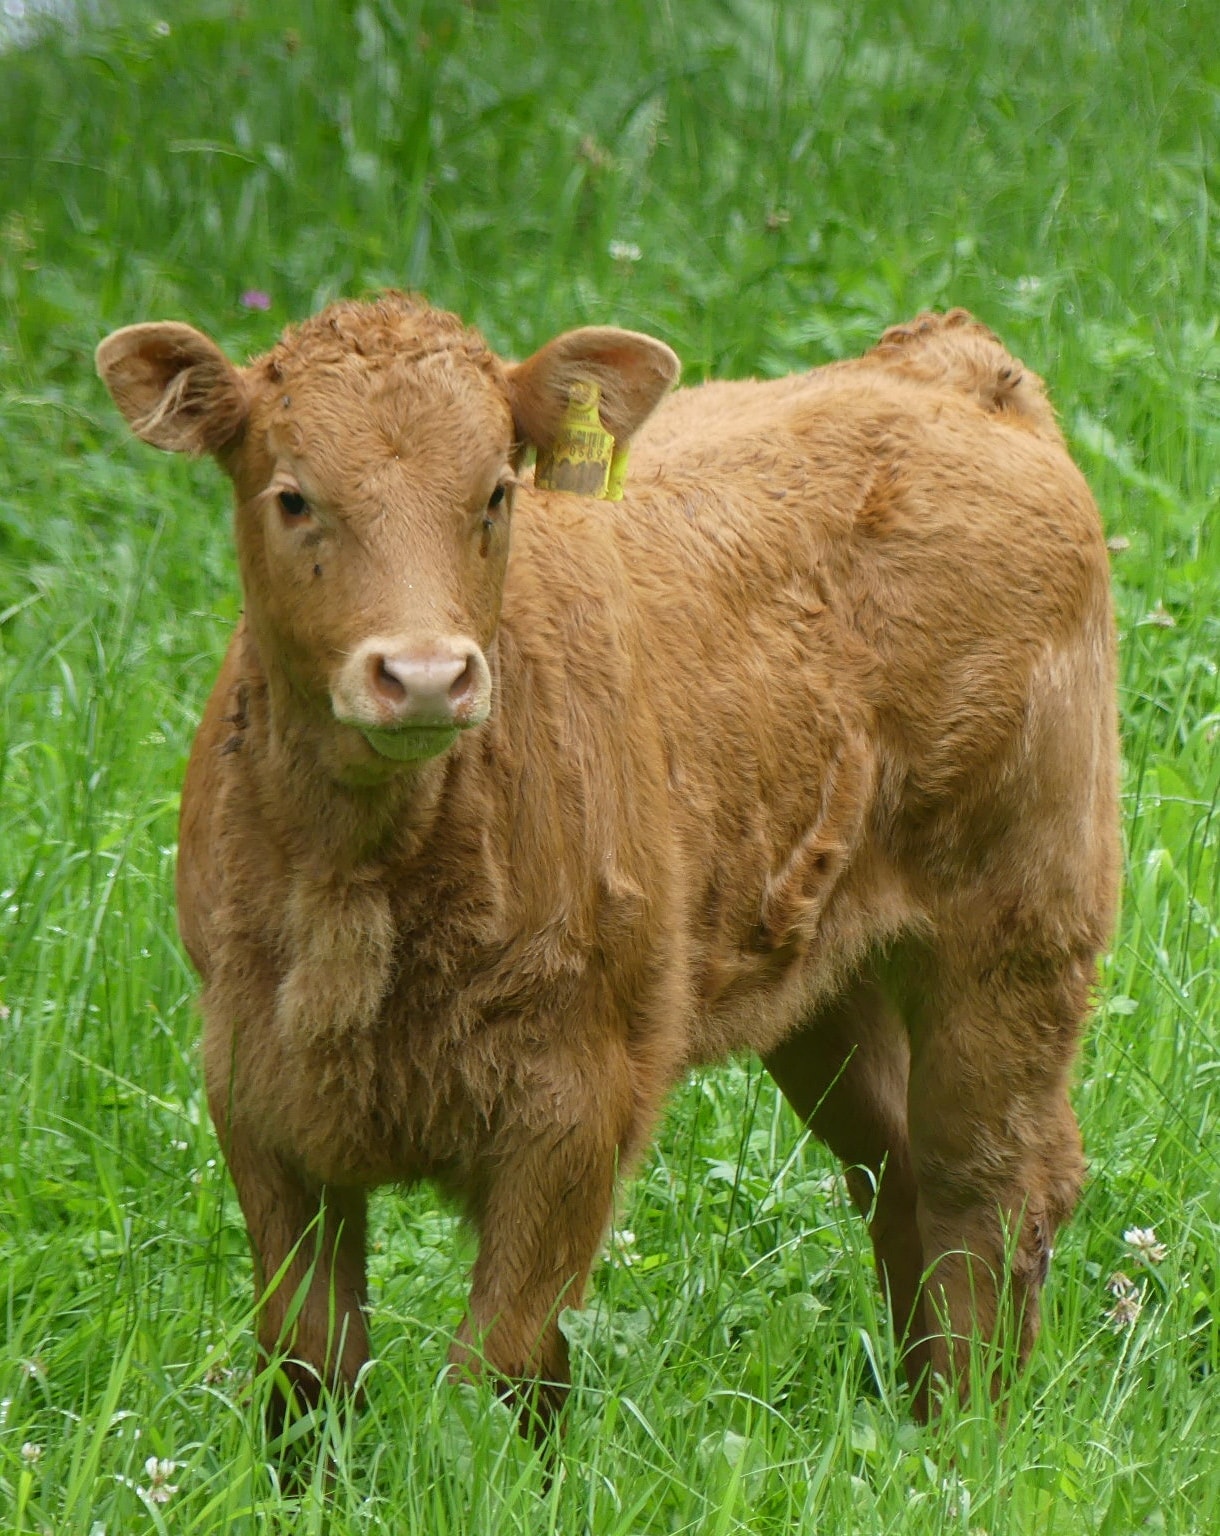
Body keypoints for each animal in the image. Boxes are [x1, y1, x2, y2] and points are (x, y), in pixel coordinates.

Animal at [99, 296, 1118, 1425]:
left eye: (495, 492)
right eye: (291, 497)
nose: (425, 675)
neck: (361, 878)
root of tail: (941, 365)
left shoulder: (576, 1096)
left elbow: (501, 1365)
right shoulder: (256, 1087)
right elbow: (308, 1358)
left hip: (1018, 924)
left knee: (984, 1182)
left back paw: (971, 1427)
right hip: (825, 978)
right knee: (894, 1168)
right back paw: (917, 1413)